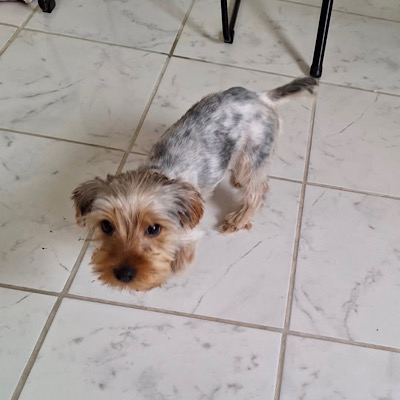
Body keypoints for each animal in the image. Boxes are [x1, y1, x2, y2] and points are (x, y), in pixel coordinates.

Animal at [72, 76, 317, 291]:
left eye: (154, 229)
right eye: (106, 226)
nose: (124, 275)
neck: (159, 174)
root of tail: (262, 97)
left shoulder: (188, 234)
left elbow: (180, 262)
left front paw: (159, 274)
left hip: (254, 150)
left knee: (258, 190)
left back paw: (238, 219)